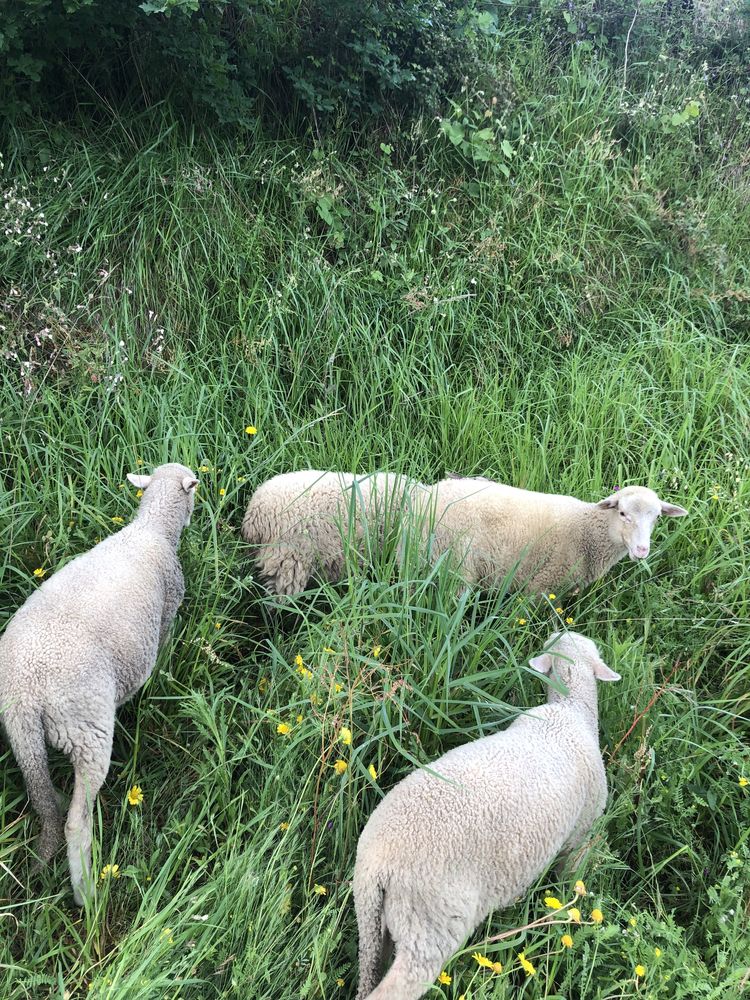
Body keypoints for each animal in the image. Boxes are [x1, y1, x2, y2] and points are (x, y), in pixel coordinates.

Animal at [0, 460, 198, 908]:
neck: (152, 528)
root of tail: (24, 694)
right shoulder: (168, 610)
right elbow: (165, 647)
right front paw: (165, 673)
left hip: (22, 737)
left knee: (43, 799)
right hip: (85, 728)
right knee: (77, 821)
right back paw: (87, 893)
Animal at [352, 632, 624, 1000]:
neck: (571, 709)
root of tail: (377, 863)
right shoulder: (582, 832)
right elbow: (572, 876)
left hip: (370, 919)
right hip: (430, 925)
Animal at [418, 478, 688, 592]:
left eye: (657, 517)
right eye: (622, 513)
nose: (642, 550)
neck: (587, 531)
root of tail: (427, 493)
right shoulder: (541, 585)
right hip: (455, 563)